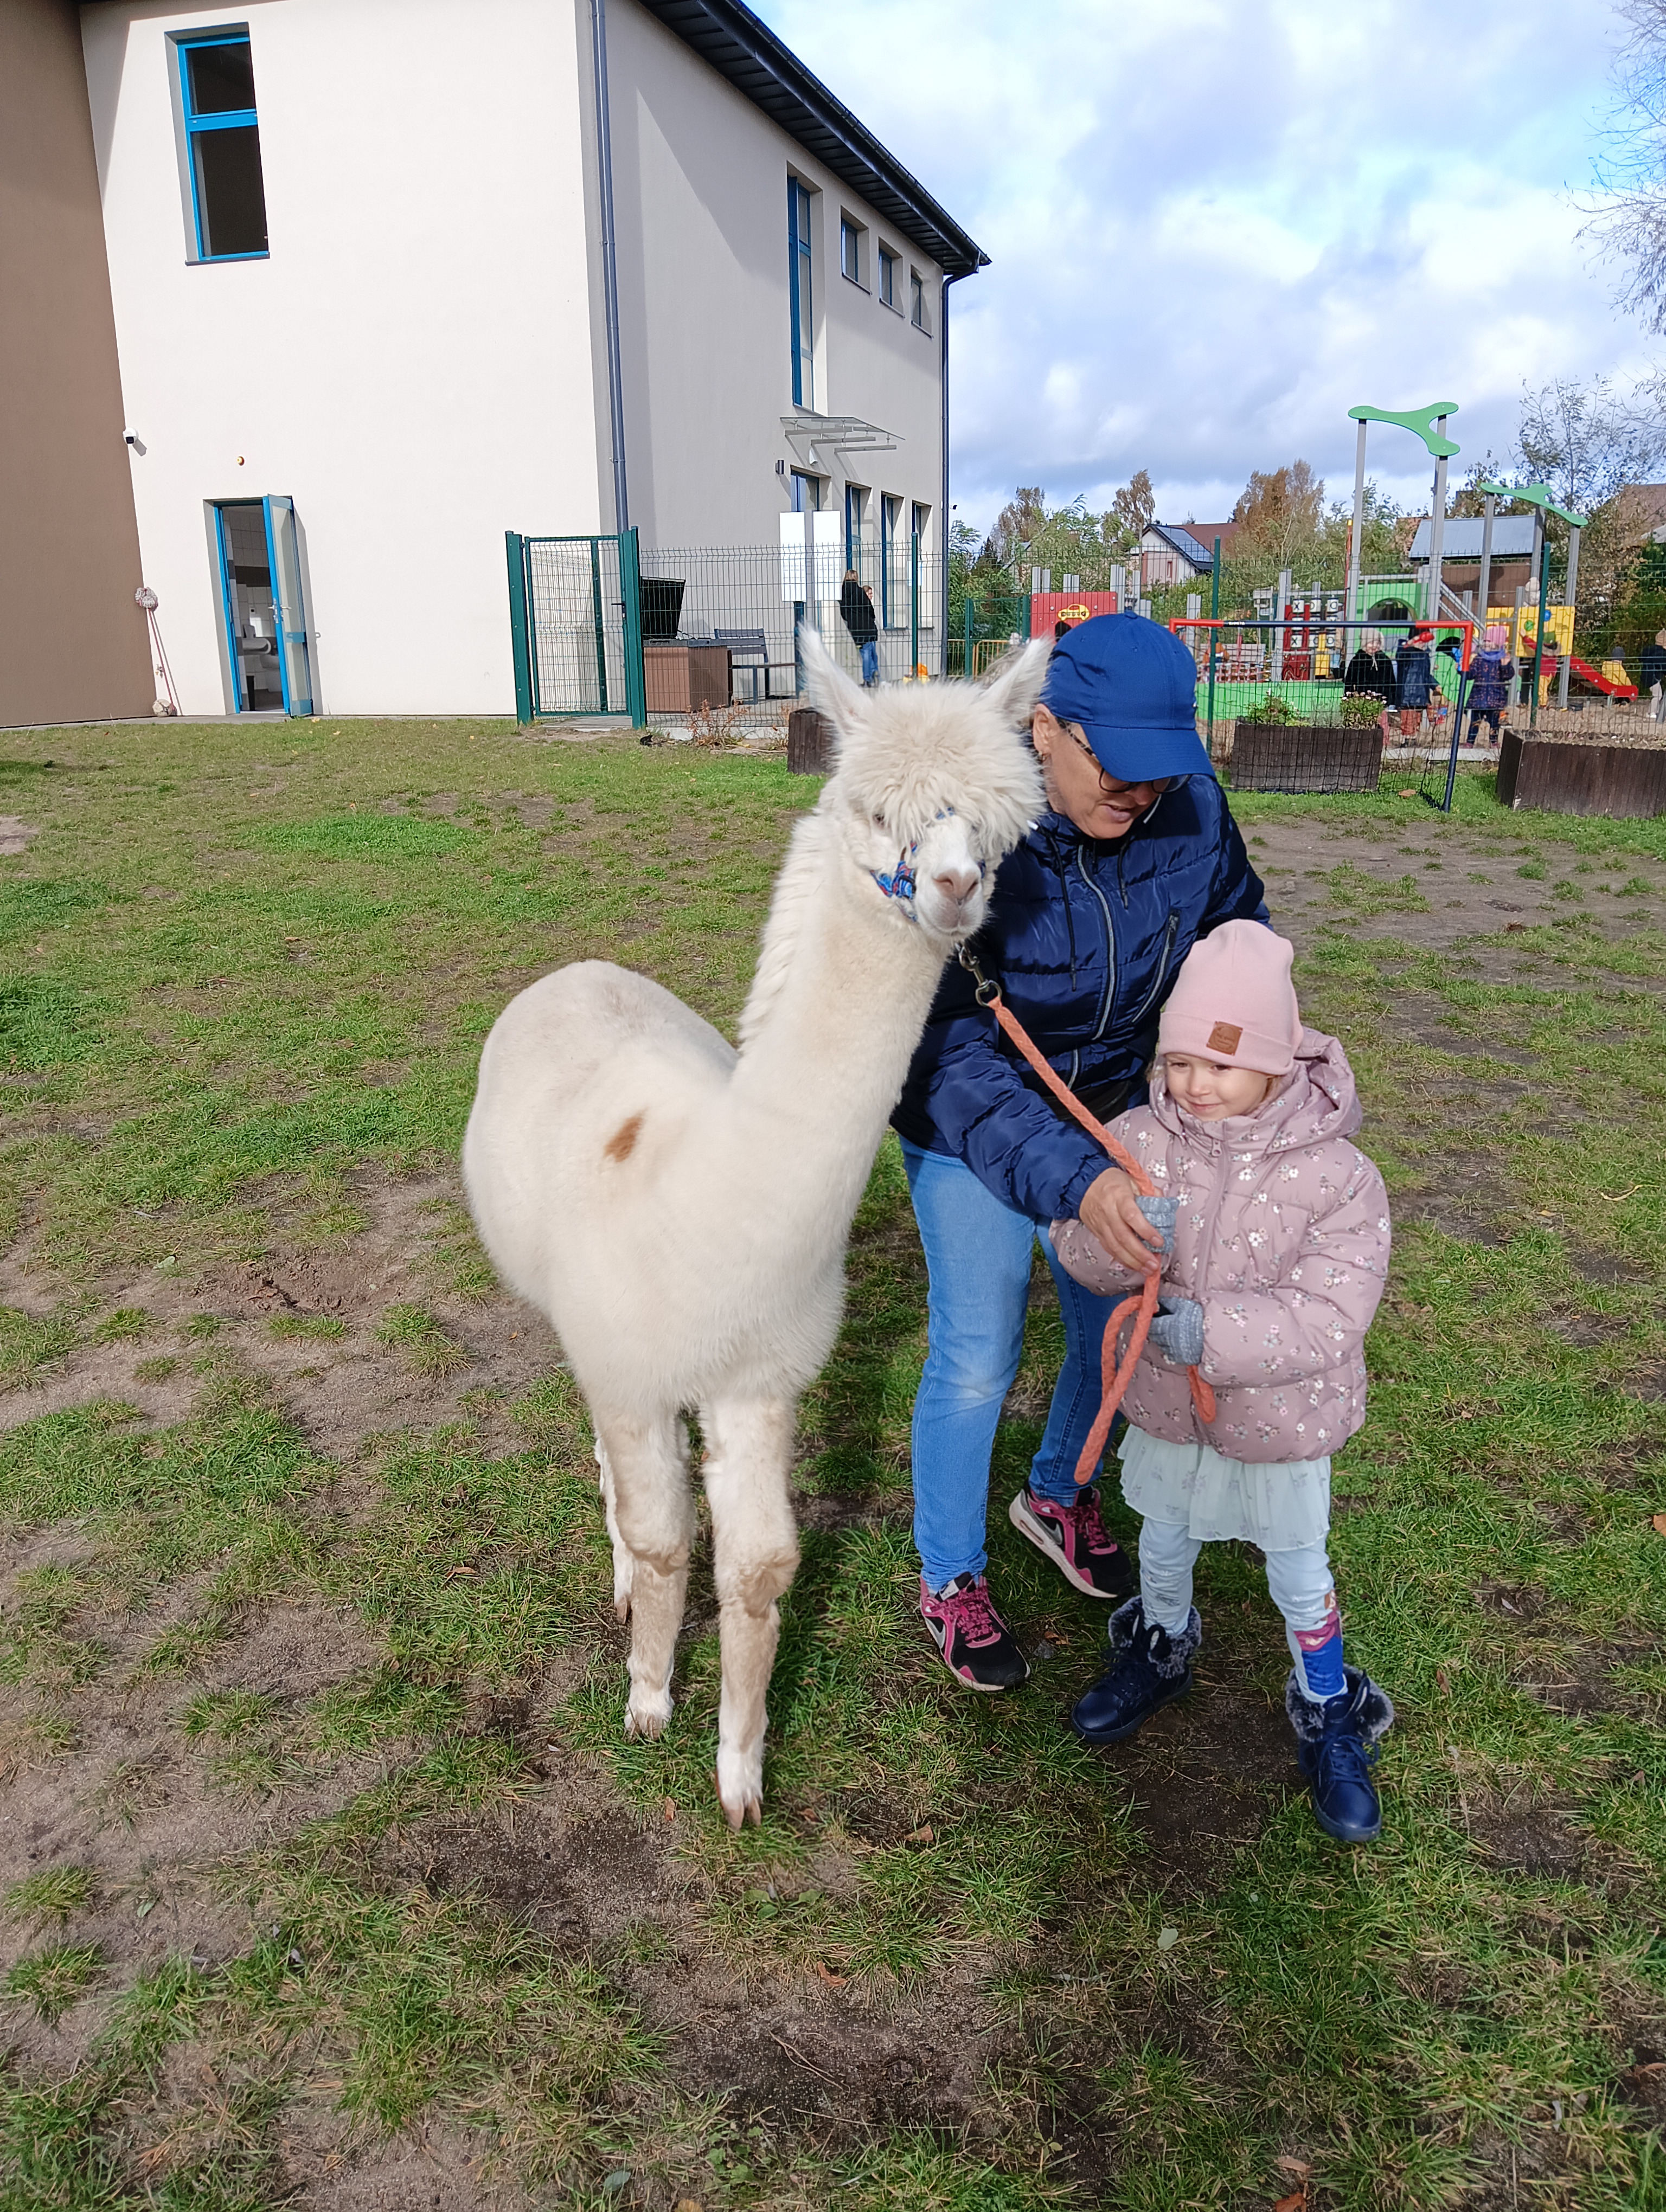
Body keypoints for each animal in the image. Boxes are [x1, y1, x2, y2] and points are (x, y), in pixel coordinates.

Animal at [462, 633, 1049, 1825]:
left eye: (999, 828)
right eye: (875, 809)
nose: (954, 887)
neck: (715, 1199)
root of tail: (579, 970)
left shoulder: (761, 1381)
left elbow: (762, 1569)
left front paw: (740, 1768)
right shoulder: (634, 1367)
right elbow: (660, 1540)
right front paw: (647, 1698)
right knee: (607, 1461)